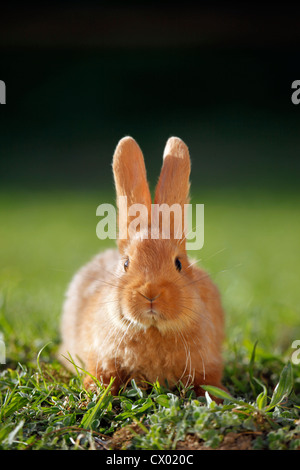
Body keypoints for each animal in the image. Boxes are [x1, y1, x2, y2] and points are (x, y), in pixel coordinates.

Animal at [59, 135, 225, 396]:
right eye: (126, 263)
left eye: (178, 263)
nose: (150, 292)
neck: (153, 328)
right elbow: (101, 375)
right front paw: (93, 392)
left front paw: (217, 397)